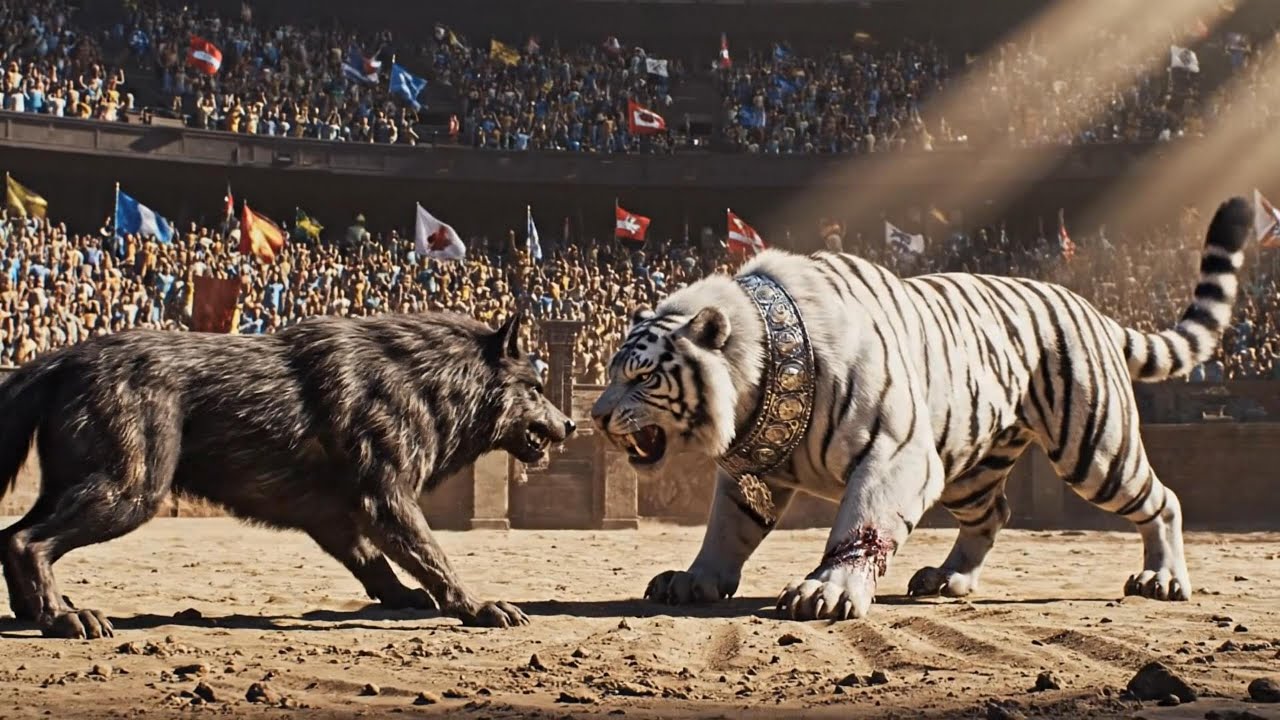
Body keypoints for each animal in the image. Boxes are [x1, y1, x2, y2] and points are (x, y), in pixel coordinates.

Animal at [0, 312, 574, 638]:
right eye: (535, 389)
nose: (570, 423)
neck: (425, 380)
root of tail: (65, 357)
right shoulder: (388, 500)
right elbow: (435, 560)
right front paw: (478, 607)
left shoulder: (333, 517)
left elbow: (377, 565)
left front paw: (405, 599)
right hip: (131, 492)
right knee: (29, 541)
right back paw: (62, 619)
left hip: (82, 487)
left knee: (11, 535)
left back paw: (35, 611)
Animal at [590, 196, 1251, 622]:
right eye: (611, 373)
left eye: (641, 376)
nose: (594, 416)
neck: (759, 381)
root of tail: (1093, 308)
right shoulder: (752, 470)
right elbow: (726, 531)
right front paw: (694, 580)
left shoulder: (895, 454)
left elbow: (860, 524)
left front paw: (827, 592)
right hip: (970, 468)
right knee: (994, 513)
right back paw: (949, 580)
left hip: (1094, 447)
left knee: (1162, 500)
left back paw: (1163, 579)